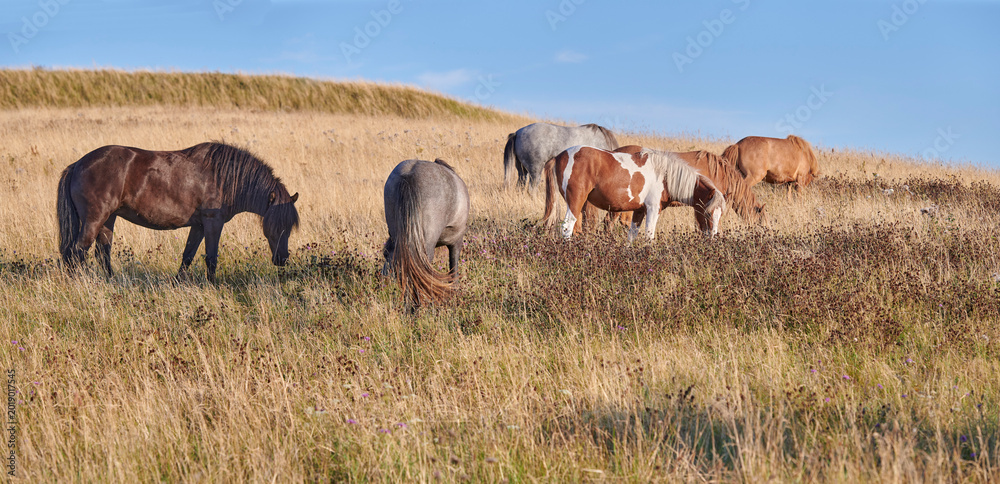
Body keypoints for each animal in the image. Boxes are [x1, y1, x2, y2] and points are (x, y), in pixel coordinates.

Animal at [57, 142, 299, 283]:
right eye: (272, 227)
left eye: (289, 227)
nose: (282, 259)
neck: (225, 178)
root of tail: (78, 164)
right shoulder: (213, 222)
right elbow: (211, 257)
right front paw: (213, 286)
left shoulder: (199, 225)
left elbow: (188, 255)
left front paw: (178, 282)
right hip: (94, 220)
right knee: (77, 252)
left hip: (109, 219)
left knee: (102, 252)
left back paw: (112, 281)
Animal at [541, 146, 726, 241]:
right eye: (708, 214)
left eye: (720, 215)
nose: (713, 238)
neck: (665, 175)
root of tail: (558, 156)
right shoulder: (653, 209)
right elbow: (649, 237)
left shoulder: (639, 211)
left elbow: (632, 235)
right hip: (575, 201)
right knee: (567, 227)